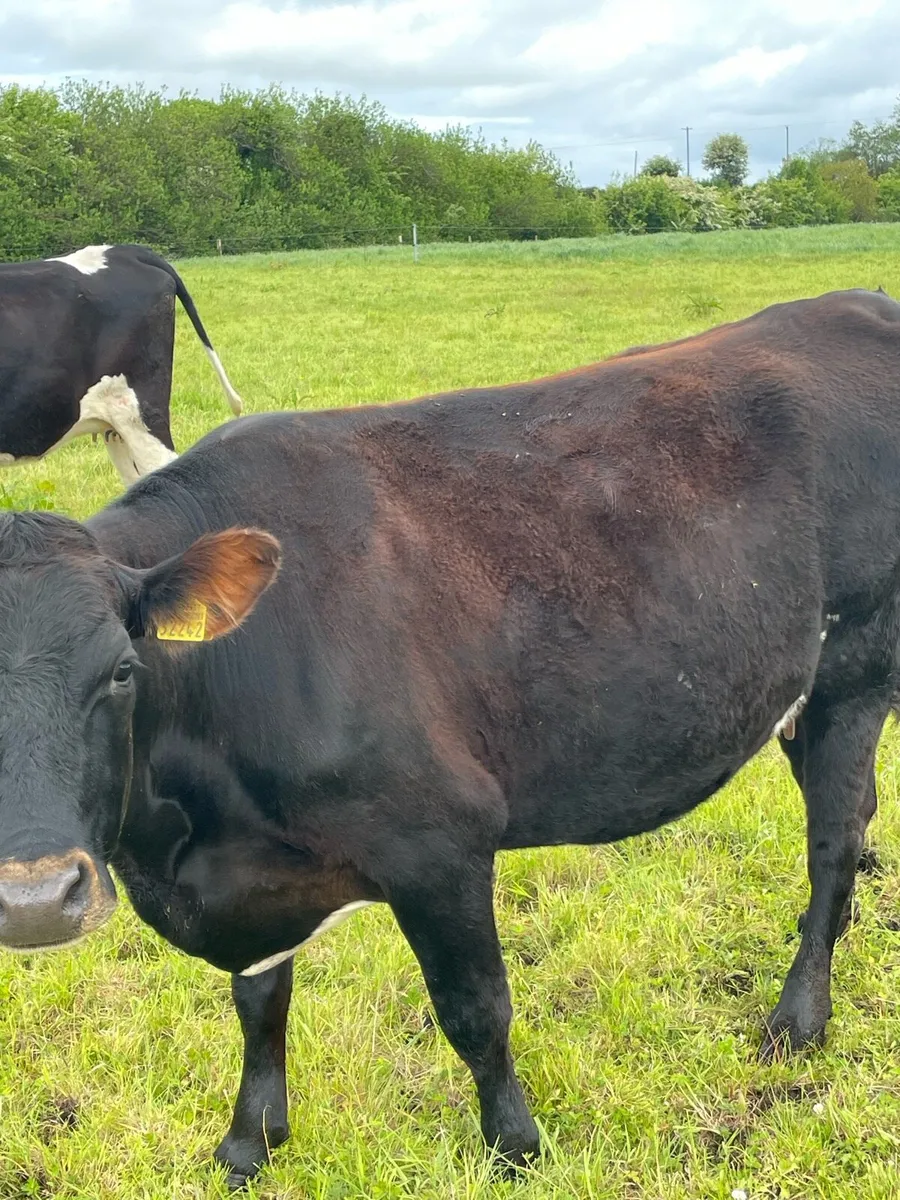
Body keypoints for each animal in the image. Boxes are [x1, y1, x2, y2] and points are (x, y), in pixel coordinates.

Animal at [0, 286, 898, 1188]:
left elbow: (474, 1011)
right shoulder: (257, 878)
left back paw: (799, 1018)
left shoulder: (438, 841)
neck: (192, 848)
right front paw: (250, 1140)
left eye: (123, 670)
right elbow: (258, 1003)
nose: (34, 899)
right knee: (854, 818)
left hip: (855, 669)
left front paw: (517, 1146)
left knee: (831, 842)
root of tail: (853, 303)